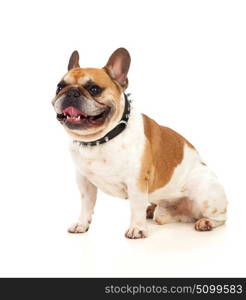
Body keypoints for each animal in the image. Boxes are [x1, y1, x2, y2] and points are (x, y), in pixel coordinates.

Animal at [52, 48, 227, 238]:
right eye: (59, 87)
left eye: (94, 89)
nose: (71, 92)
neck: (101, 140)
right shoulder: (84, 181)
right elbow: (86, 204)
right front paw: (82, 224)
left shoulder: (136, 181)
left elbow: (136, 206)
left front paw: (137, 228)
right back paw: (151, 210)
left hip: (203, 192)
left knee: (221, 217)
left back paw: (206, 222)